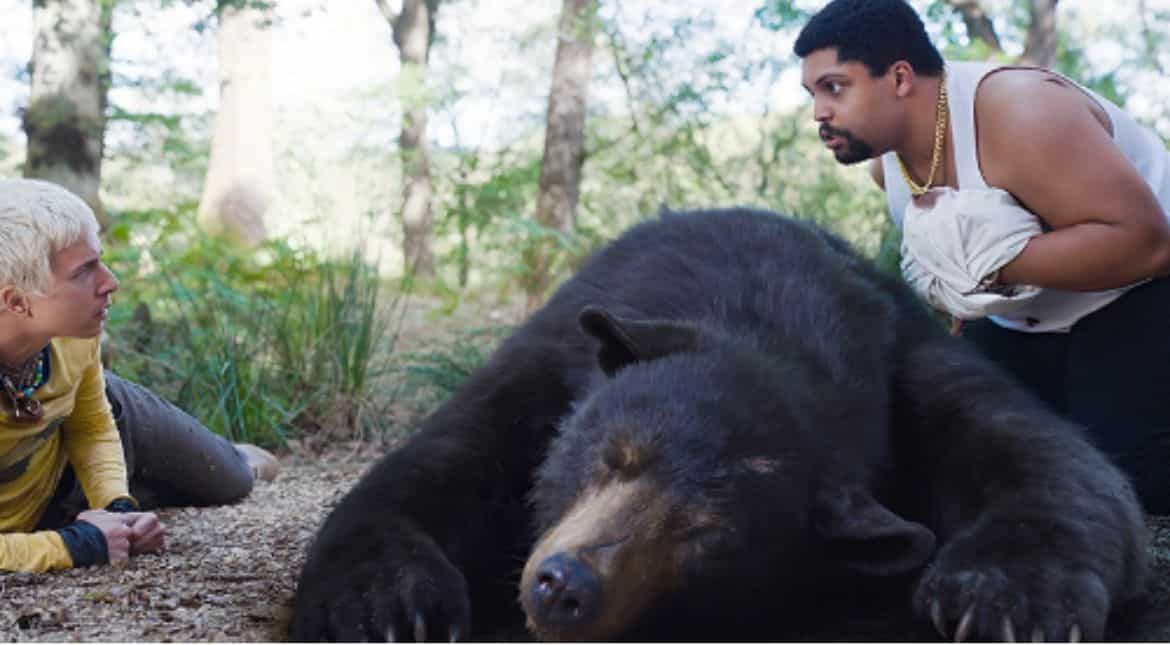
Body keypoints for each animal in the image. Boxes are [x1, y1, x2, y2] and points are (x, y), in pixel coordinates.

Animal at [291, 207, 1147, 642]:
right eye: (612, 455)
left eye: (706, 533)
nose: (564, 586)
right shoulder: (556, 350)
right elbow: (444, 460)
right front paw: (387, 603)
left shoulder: (907, 356)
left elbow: (1050, 459)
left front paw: (1005, 595)